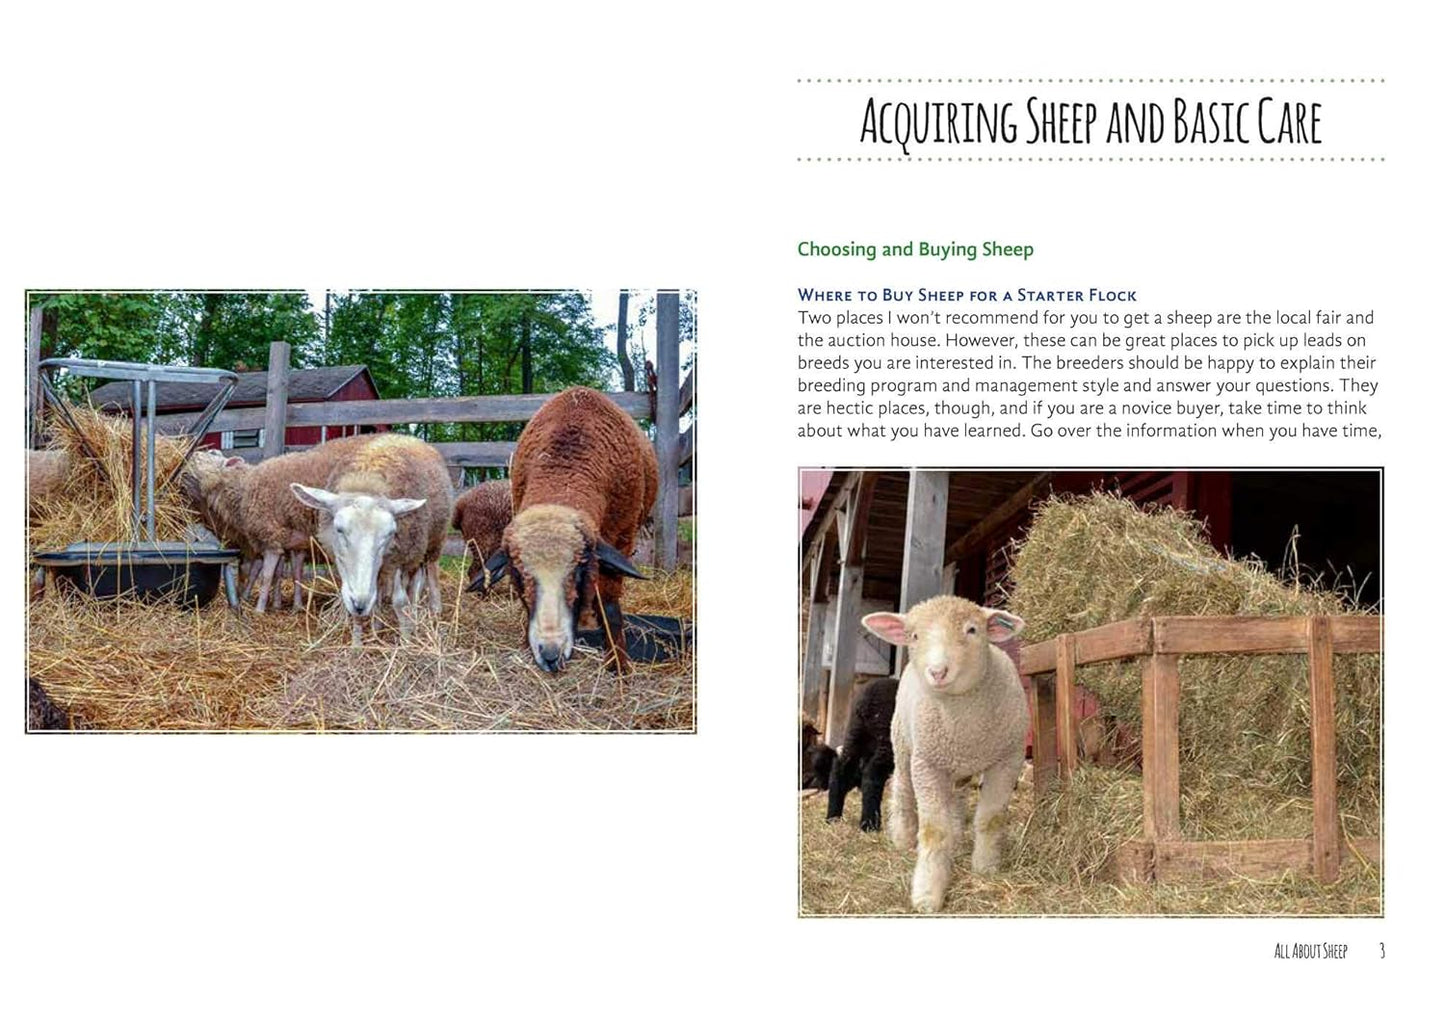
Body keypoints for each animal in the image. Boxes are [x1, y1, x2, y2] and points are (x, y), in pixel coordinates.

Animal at [291, 433, 454, 645]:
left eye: (390, 533)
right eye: (339, 529)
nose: (360, 604)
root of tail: (405, 436)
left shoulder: (396, 558)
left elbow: (399, 602)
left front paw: (406, 641)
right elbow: (363, 603)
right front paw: (357, 644)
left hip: (432, 542)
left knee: (428, 575)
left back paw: (432, 611)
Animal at [469, 386, 657, 674]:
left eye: (579, 570)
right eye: (518, 574)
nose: (550, 654)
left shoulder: (621, 536)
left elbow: (610, 604)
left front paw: (618, 663)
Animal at [825, 677, 898, 831]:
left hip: (854, 735)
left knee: (841, 770)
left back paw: (833, 818)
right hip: (886, 741)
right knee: (872, 775)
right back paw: (870, 824)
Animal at [861, 597, 1028, 913]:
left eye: (972, 630)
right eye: (914, 636)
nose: (938, 672)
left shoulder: (1008, 760)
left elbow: (990, 819)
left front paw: (985, 868)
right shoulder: (926, 765)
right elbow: (933, 831)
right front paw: (928, 893)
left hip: (955, 768)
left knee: (955, 798)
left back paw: (957, 830)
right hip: (904, 745)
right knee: (902, 789)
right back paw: (902, 837)